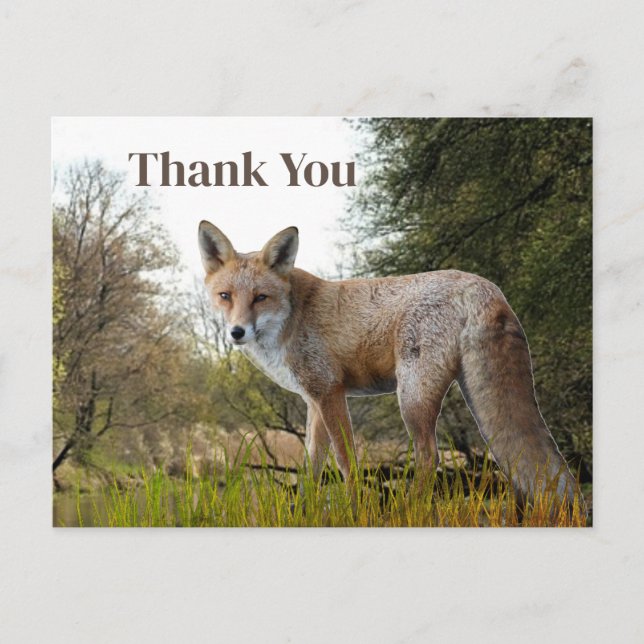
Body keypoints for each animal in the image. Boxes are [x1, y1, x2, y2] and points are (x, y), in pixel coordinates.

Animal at [198, 220, 582, 511]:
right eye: (225, 296)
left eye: (260, 298)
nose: (236, 332)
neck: (291, 318)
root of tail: (486, 286)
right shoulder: (313, 400)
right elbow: (312, 467)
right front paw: (305, 512)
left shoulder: (330, 392)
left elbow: (346, 462)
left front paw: (354, 511)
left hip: (411, 396)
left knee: (429, 457)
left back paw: (410, 510)